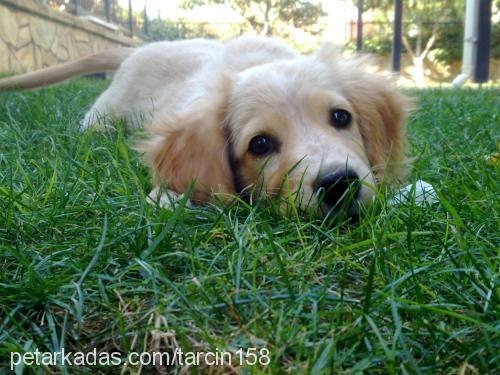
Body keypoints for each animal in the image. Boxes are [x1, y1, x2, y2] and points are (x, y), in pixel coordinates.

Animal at [0, 36, 410, 217]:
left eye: (341, 117)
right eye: (260, 144)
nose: (339, 184)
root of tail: (138, 48)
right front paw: (169, 196)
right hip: (101, 117)